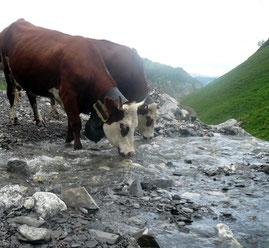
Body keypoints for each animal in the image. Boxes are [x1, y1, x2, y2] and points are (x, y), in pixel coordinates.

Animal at [0, 18, 143, 157]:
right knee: (11, 93)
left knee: (31, 96)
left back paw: (39, 119)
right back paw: (13, 118)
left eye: (136, 126)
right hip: (7, 68)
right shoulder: (68, 94)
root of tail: (17, 22)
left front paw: (68, 139)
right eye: (123, 126)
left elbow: (70, 119)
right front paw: (77, 145)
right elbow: (75, 122)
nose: (130, 153)